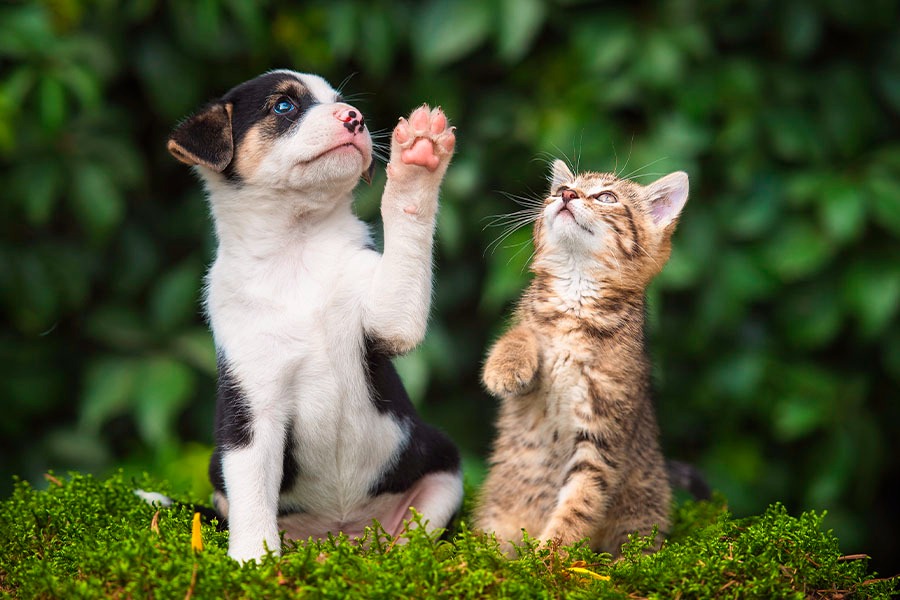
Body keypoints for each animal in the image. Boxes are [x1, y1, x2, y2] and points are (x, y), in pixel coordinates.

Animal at [168, 70, 460, 564]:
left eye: (339, 101)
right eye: (284, 106)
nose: (355, 117)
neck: (297, 246)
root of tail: (341, 535)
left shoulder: (389, 319)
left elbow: (407, 216)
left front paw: (418, 158)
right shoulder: (252, 411)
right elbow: (252, 496)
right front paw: (253, 561)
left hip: (442, 469)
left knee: (412, 536)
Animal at [478, 159, 688, 556]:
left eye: (606, 197)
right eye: (561, 189)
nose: (566, 195)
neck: (575, 297)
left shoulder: (602, 433)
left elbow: (580, 501)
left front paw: (548, 555)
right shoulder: (531, 325)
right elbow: (520, 333)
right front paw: (505, 366)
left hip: (644, 508)